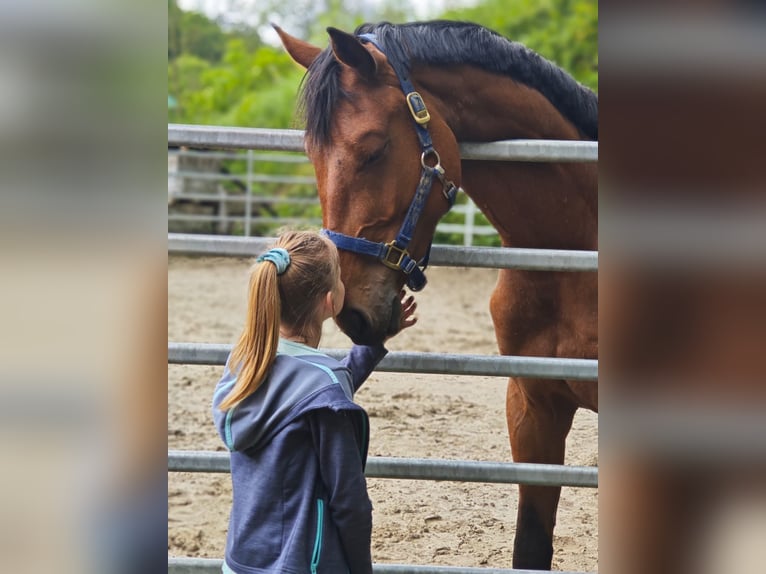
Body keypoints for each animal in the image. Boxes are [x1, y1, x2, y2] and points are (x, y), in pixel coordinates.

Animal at [276, 21, 600, 572]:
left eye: (373, 149)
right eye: (312, 157)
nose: (353, 312)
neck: (574, 257)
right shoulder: (533, 408)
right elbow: (531, 545)